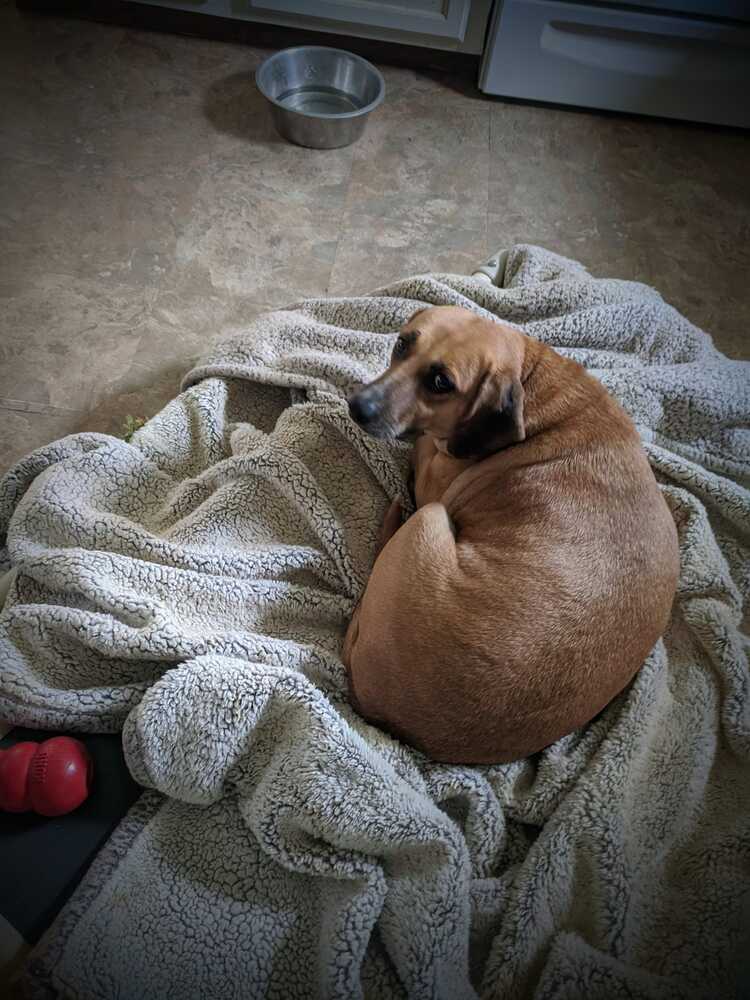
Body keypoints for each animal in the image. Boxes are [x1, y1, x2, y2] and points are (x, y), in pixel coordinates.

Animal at [344, 304, 684, 764]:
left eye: (441, 383)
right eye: (402, 343)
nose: (358, 406)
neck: (530, 377)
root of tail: (384, 712)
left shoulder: (433, 475)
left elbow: (421, 449)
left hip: (429, 519)